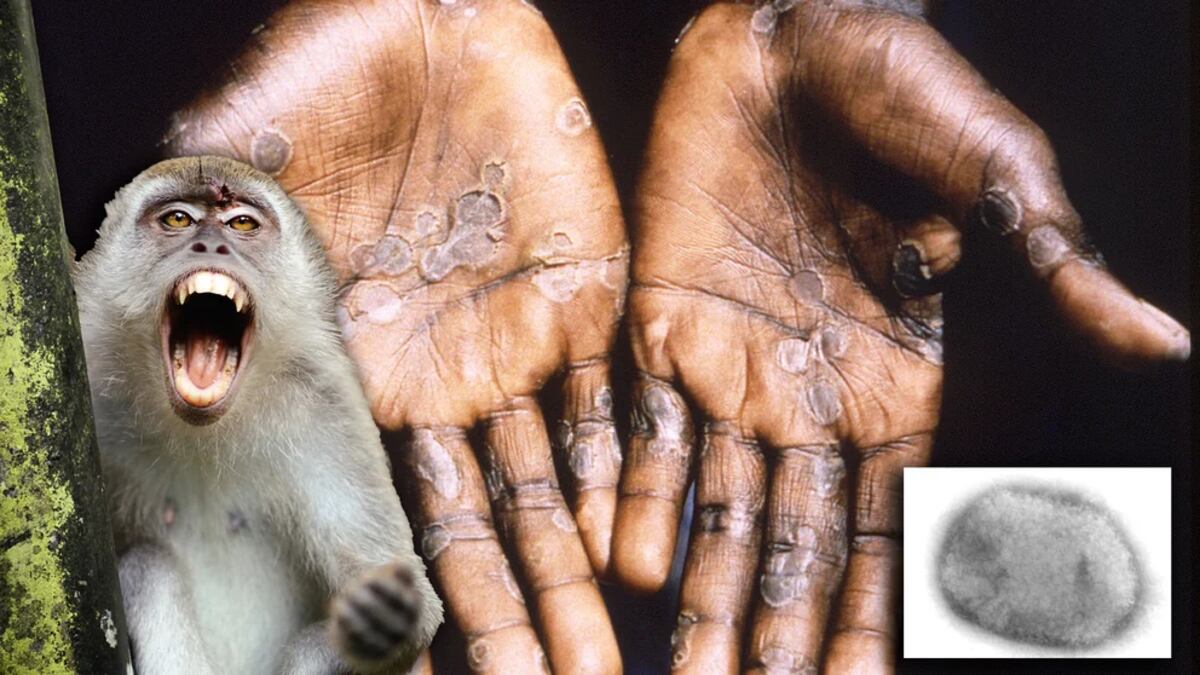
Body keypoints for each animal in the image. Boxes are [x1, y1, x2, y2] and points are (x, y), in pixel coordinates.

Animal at [72, 156, 443, 674]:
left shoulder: (327, 412)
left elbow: (410, 607)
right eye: (178, 219)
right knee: (149, 565)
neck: (199, 431)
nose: (212, 245)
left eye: (243, 224)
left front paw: (385, 617)